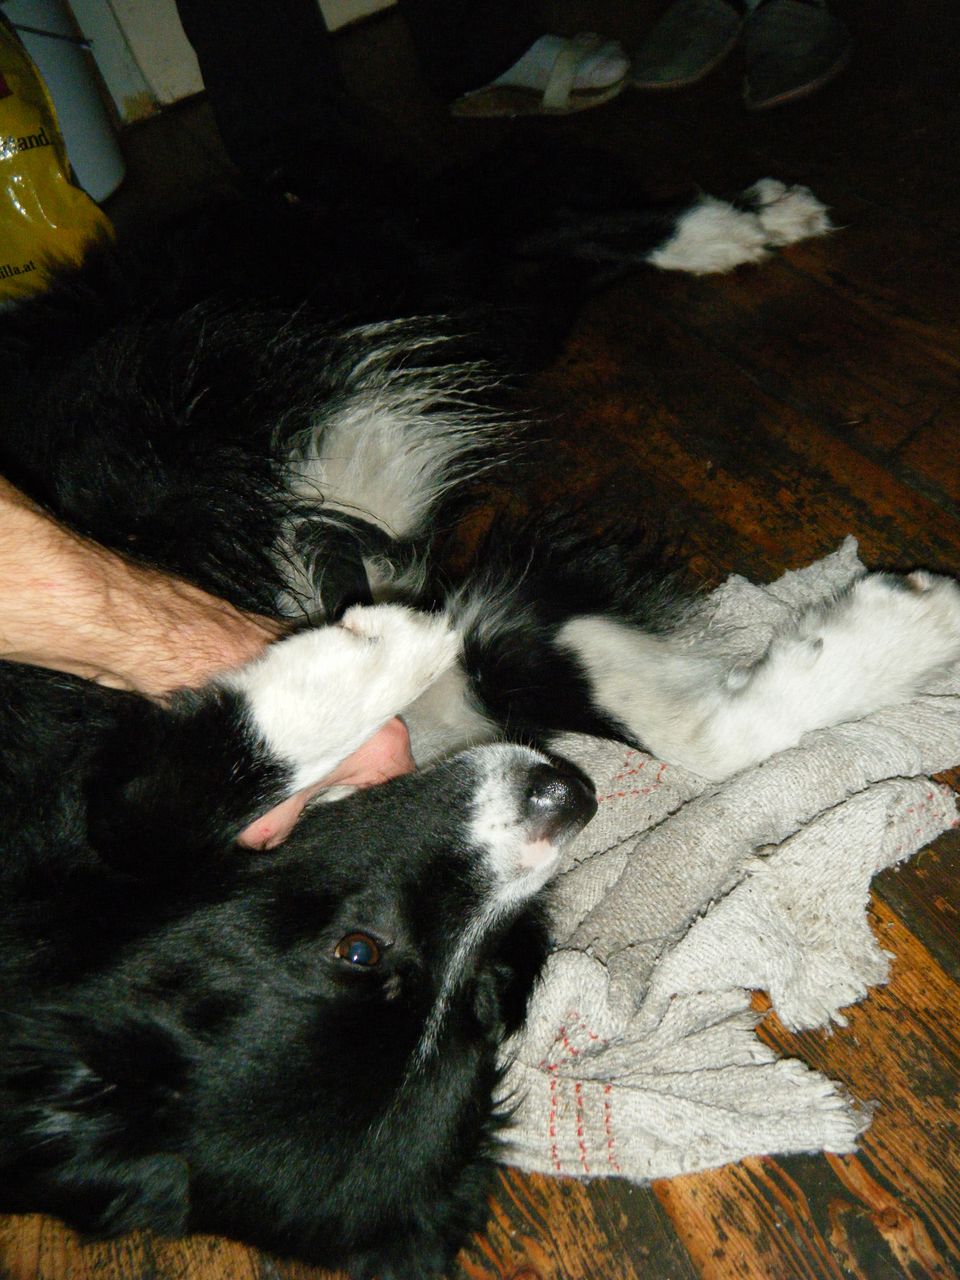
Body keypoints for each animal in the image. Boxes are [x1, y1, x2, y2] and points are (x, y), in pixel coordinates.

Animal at [2, 162, 959, 1280]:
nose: (567, 793)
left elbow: (142, 803)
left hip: (368, 278)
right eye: (488, 1010)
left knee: (528, 222)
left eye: (357, 952)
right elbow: (687, 727)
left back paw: (738, 221)